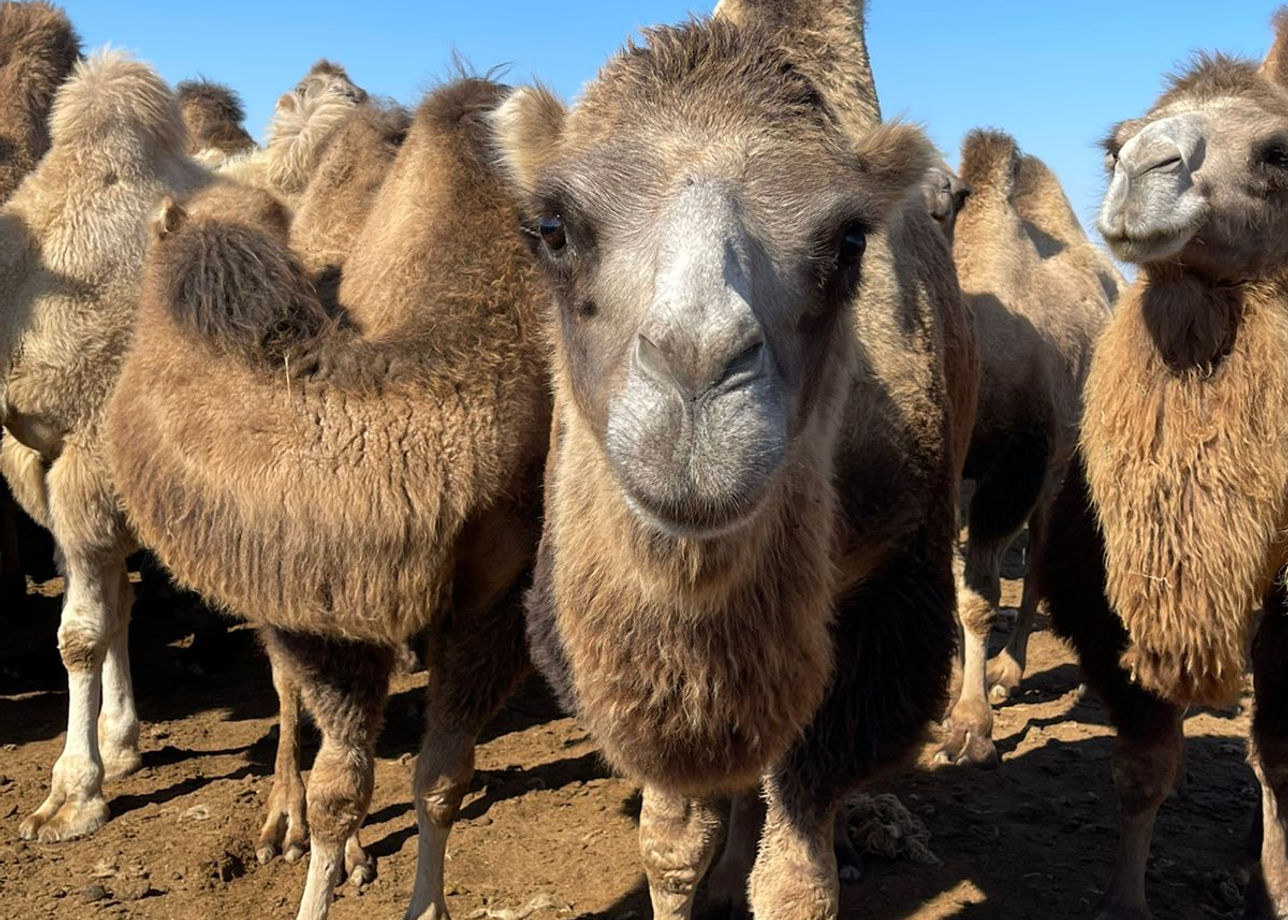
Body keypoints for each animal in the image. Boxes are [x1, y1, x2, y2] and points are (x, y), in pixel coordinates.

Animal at [104, 75, 548, 917]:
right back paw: (287, 825)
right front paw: (324, 858)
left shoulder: (497, 594)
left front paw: (427, 903)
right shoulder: (321, 614)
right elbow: (337, 790)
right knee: (287, 702)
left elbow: (442, 778)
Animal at [494, 0, 973, 912]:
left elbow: (796, 873)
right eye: (553, 230)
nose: (696, 365)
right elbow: (671, 839)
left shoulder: (893, 598)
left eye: (850, 241)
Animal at [937, 128, 1117, 762]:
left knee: (1043, 557)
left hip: (1066, 462)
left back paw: (1021, 674)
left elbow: (980, 595)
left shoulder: (1015, 468)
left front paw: (971, 728)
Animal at [1045, 8, 1288, 917]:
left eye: (1278, 152)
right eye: (1113, 146)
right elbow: (1145, 765)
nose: (1144, 167)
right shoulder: (1102, 605)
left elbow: (1281, 763)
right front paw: (1123, 899)